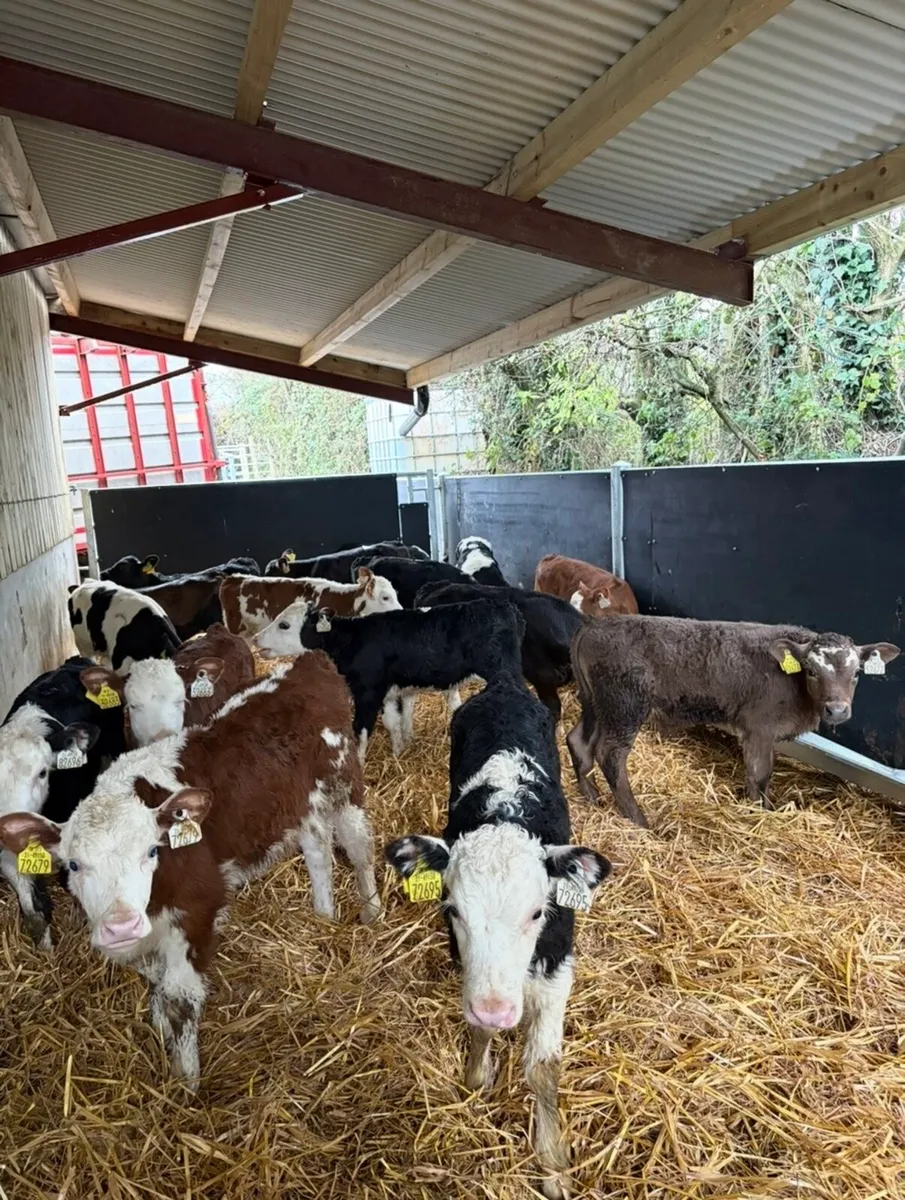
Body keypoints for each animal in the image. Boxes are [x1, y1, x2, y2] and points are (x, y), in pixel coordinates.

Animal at [254, 596, 525, 762]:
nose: (256, 639)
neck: (353, 639)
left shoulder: (367, 692)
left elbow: (361, 730)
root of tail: (500, 604)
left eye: (284, 625)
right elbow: (394, 723)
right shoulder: (389, 693)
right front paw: (399, 751)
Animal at [385, 674, 611, 1200]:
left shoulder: (558, 967)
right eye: (452, 910)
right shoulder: (473, 977)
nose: (497, 1008)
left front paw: (553, 1163)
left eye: (538, 912)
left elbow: (543, 1068)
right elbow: (479, 1028)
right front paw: (477, 1076)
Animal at [569, 614, 901, 828]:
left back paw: (591, 794)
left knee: (578, 741)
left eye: (856, 673)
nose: (837, 710)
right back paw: (638, 819)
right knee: (610, 755)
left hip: (598, 706)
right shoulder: (758, 728)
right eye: (811, 671)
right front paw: (760, 813)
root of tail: (595, 625)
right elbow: (759, 774)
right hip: (625, 708)